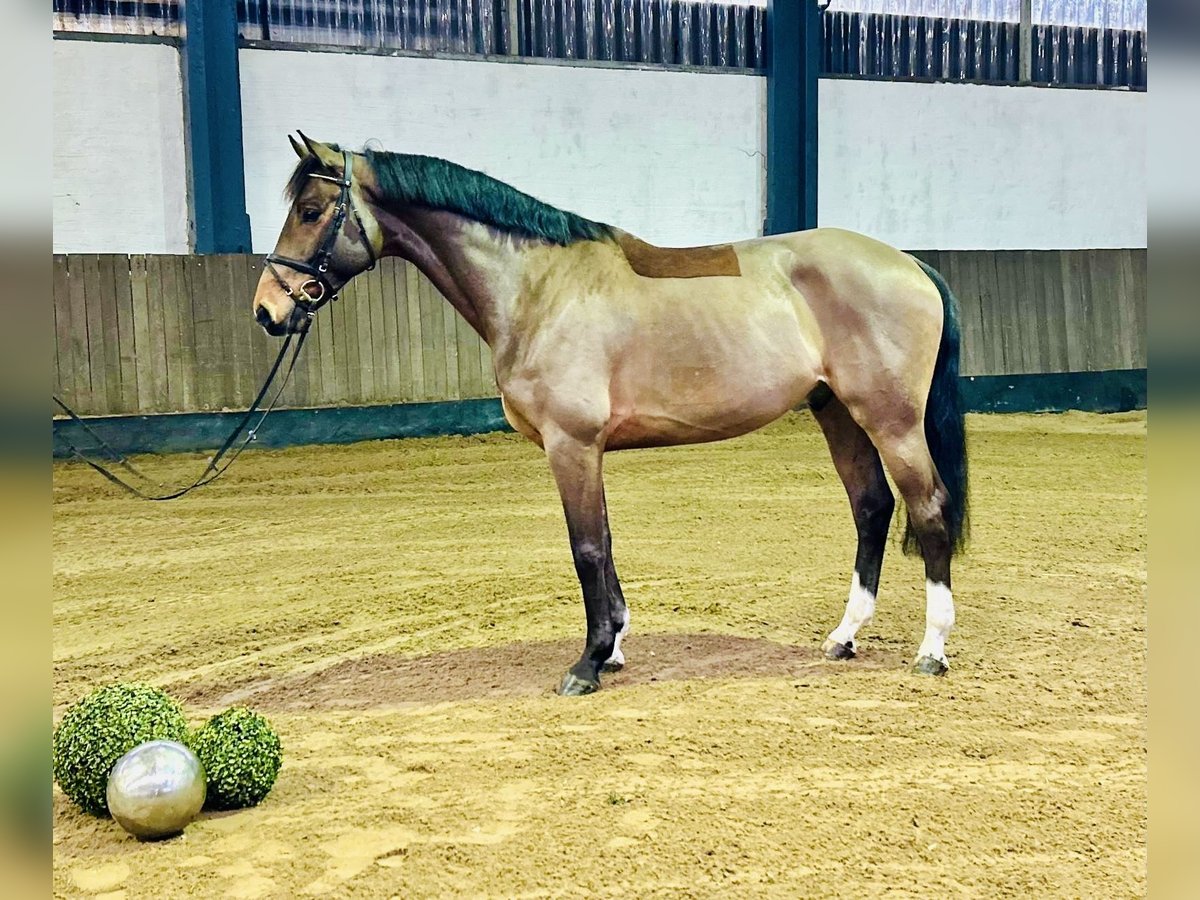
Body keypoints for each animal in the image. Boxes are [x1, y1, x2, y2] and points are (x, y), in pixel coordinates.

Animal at [250, 135, 964, 696]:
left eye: (311, 211)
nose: (268, 310)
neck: (539, 287)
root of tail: (911, 264)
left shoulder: (571, 444)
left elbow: (586, 547)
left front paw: (588, 664)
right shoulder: (586, 451)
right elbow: (607, 544)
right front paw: (614, 648)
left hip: (892, 421)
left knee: (928, 509)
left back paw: (932, 651)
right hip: (837, 412)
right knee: (872, 507)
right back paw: (845, 636)